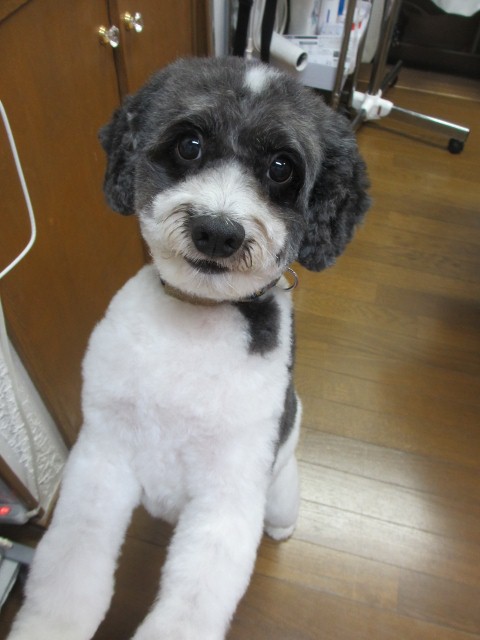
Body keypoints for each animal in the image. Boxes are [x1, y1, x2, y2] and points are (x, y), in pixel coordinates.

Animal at [8, 57, 369, 640]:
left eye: (281, 168)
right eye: (189, 145)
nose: (217, 232)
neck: (195, 318)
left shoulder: (227, 499)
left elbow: (189, 608)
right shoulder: (101, 457)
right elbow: (68, 572)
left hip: (280, 486)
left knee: (281, 511)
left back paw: (283, 529)